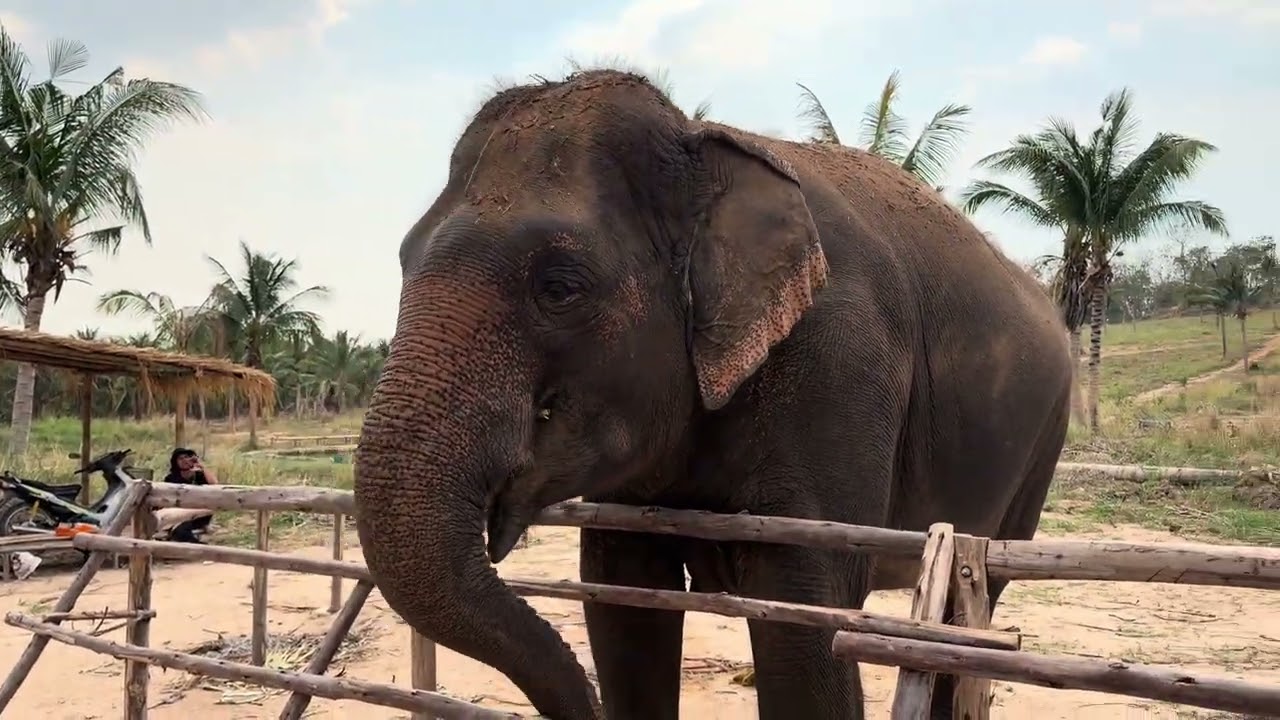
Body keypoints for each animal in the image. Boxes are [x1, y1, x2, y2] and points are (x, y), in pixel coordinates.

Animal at [353, 68, 1073, 720]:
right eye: (402, 260)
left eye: (559, 287)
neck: (701, 143)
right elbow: (622, 594)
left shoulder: (841, 363)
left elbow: (804, 608)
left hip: (1043, 443)